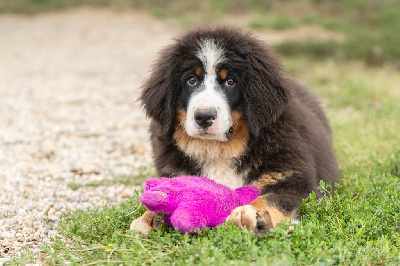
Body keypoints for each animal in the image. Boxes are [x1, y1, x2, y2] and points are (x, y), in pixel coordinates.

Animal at [130, 25, 338, 237]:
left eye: (230, 81)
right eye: (191, 80)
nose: (204, 117)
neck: (220, 150)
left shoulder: (292, 179)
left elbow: (271, 198)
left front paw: (251, 214)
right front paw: (148, 217)